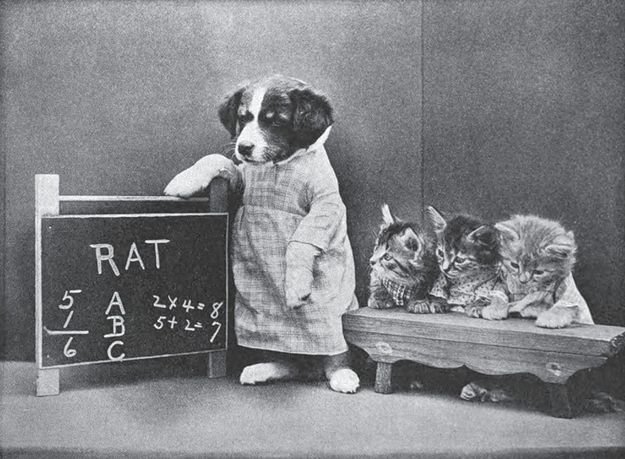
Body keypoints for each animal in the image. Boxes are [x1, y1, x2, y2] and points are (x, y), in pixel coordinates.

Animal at [165, 76, 360, 396]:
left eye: (276, 121)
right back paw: (263, 370)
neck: (279, 167)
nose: (244, 147)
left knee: (334, 353)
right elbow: (215, 159)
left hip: (335, 320)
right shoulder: (241, 178)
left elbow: (299, 242)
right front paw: (185, 180)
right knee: (290, 363)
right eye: (243, 118)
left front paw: (295, 286)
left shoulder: (326, 204)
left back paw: (342, 375)